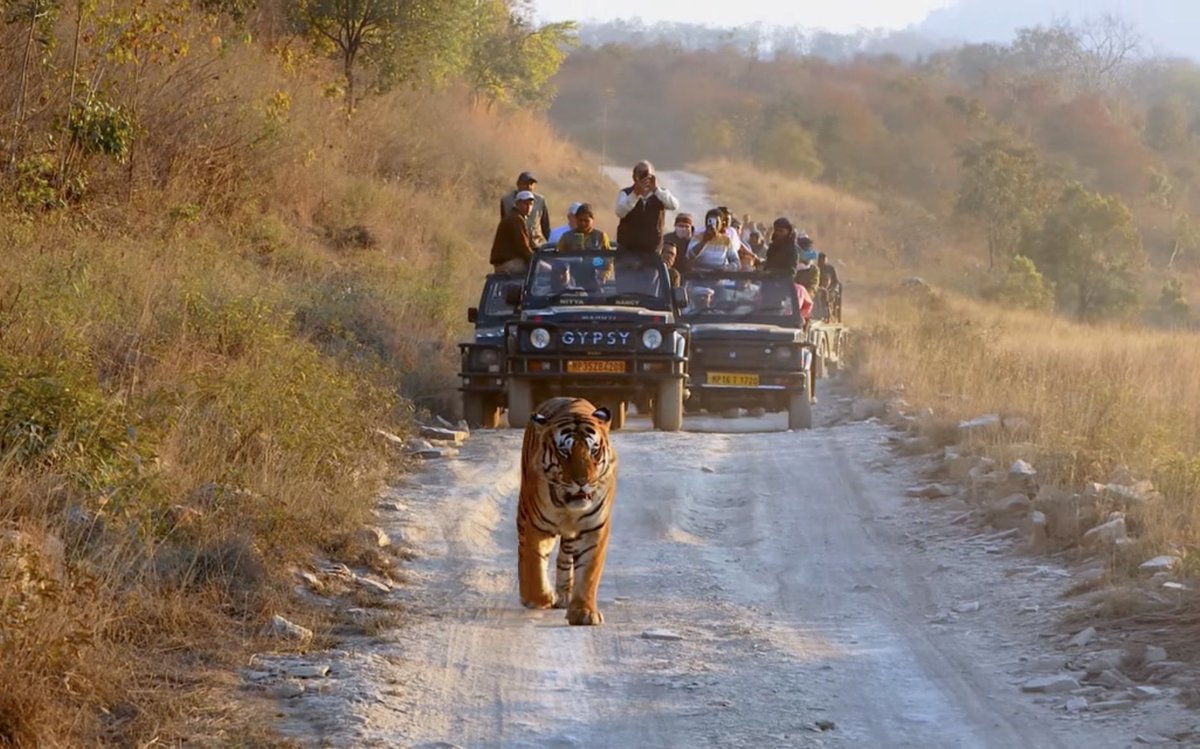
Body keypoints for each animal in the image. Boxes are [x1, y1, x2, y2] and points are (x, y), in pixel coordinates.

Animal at [516, 396, 618, 626]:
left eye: (593, 450)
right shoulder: (537, 526)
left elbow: (588, 573)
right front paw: (543, 597)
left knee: (564, 559)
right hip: (524, 512)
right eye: (564, 451)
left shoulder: (593, 528)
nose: (582, 482)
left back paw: (564, 596)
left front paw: (584, 612)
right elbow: (534, 566)